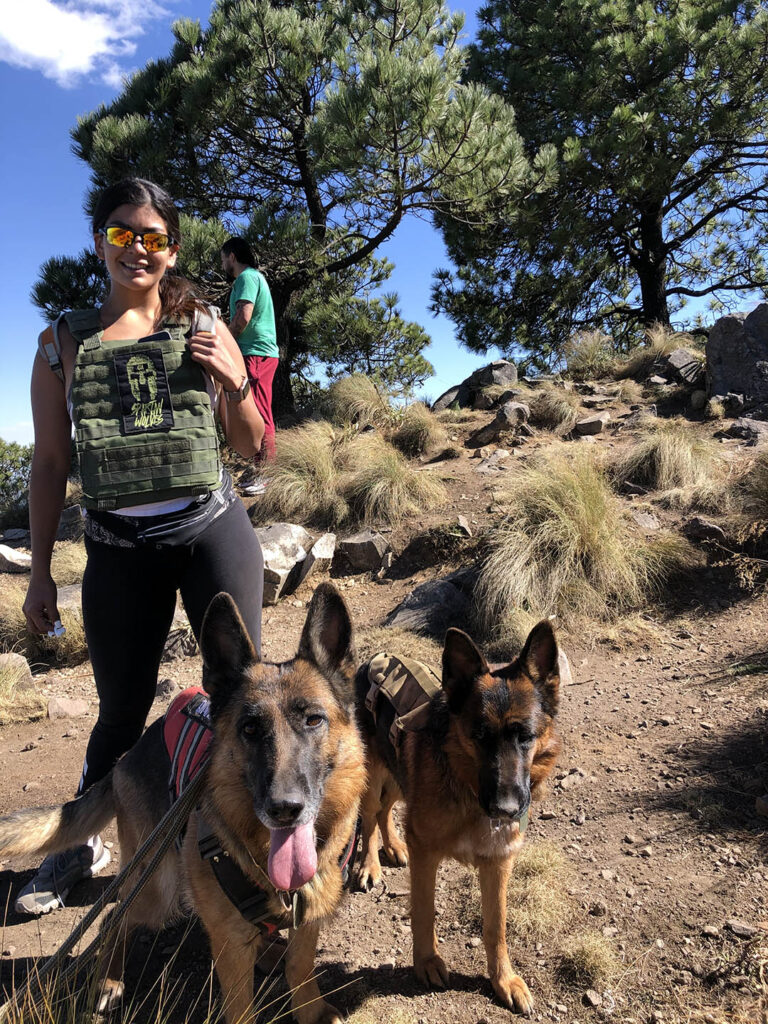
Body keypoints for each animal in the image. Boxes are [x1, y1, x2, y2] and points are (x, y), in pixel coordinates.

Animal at [0, 585, 364, 1024]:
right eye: (250, 728)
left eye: (313, 720)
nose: (284, 809)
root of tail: (128, 756)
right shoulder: (229, 947)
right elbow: (240, 1006)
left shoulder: (309, 914)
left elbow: (300, 964)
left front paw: (310, 1009)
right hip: (158, 887)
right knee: (114, 917)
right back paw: (108, 980)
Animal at [356, 618, 565, 1011]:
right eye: (479, 736)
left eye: (526, 737)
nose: (506, 808)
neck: (469, 790)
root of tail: (373, 657)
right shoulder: (426, 853)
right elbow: (424, 910)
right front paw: (426, 962)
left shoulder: (499, 861)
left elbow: (496, 926)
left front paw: (503, 979)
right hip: (372, 776)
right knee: (369, 816)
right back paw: (369, 864)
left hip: (399, 776)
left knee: (387, 808)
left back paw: (393, 846)